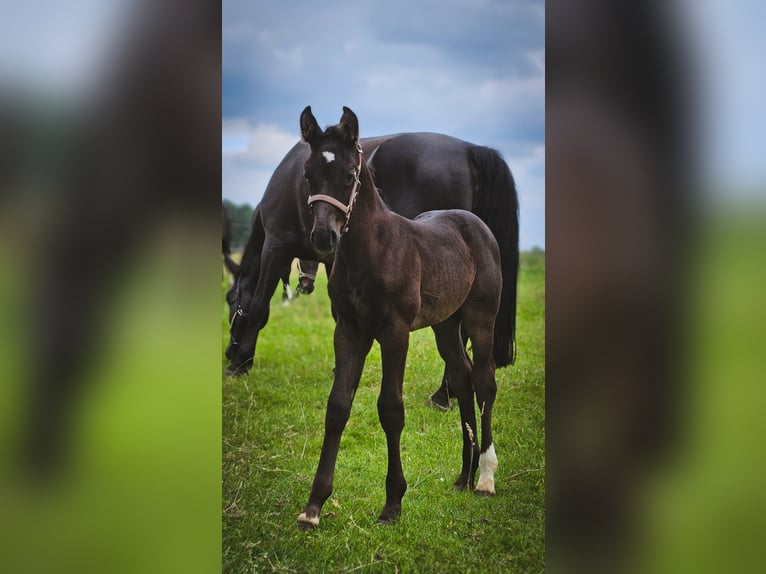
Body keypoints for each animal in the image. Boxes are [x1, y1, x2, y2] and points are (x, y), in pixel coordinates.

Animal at [225, 114, 519, 411]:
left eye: (230, 302)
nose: (228, 352)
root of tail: (471, 150)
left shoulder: (275, 245)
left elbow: (259, 304)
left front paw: (241, 363)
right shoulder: (335, 258)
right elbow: (337, 312)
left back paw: (444, 393)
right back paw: (447, 392)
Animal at [295, 106, 501, 529]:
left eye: (349, 174)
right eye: (308, 173)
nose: (323, 238)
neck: (370, 251)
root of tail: (475, 224)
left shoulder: (395, 333)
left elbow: (390, 409)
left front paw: (392, 502)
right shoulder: (349, 331)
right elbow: (337, 407)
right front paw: (314, 506)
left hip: (480, 316)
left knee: (485, 380)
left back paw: (485, 477)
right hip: (445, 323)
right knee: (462, 376)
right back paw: (463, 475)